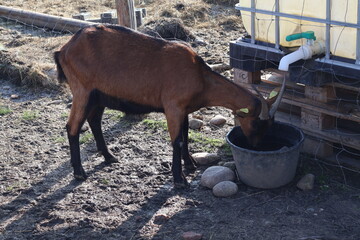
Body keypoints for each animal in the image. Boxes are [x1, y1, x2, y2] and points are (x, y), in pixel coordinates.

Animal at [54, 25, 284, 188]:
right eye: (256, 123)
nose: (256, 146)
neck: (200, 77)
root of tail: (64, 49)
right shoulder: (173, 107)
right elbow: (177, 141)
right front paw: (179, 179)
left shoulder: (184, 110)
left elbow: (186, 136)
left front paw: (189, 164)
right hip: (82, 91)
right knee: (72, 126)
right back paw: (79, 172)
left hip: (100, 96)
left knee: (94, 121)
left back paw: (109, 157)